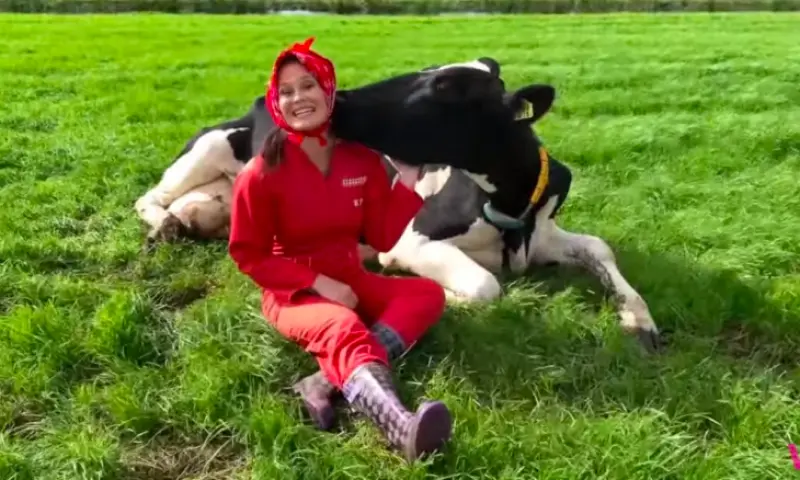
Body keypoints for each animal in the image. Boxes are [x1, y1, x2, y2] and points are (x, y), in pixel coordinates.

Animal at [135, 57, 661, 352]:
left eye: (446, 88)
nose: (339, 99)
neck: (513, 207)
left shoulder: (545, 232)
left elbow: (599, 247)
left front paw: (639, 319)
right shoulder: (413, 238)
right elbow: (486, 286)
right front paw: (434, 293)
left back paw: (187, 219)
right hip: (211, 143)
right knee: (150, 196)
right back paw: (165, 224)